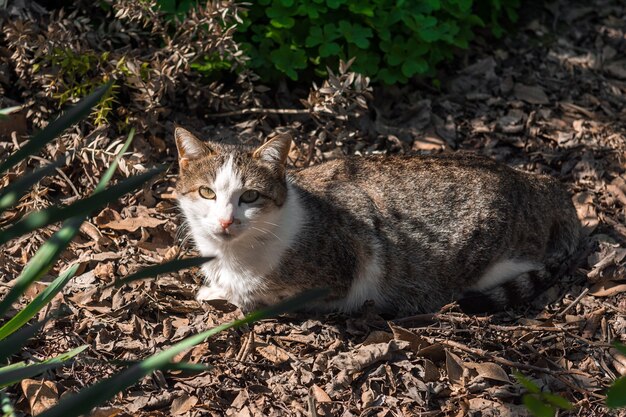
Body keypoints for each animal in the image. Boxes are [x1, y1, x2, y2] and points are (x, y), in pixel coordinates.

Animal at [172, 127, 580, 316]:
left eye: (250, 197)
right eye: (207, 193)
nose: (226, 221)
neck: (233, 255)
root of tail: (541, 183)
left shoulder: (341, 273)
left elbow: (257, 294)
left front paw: (219, 293)